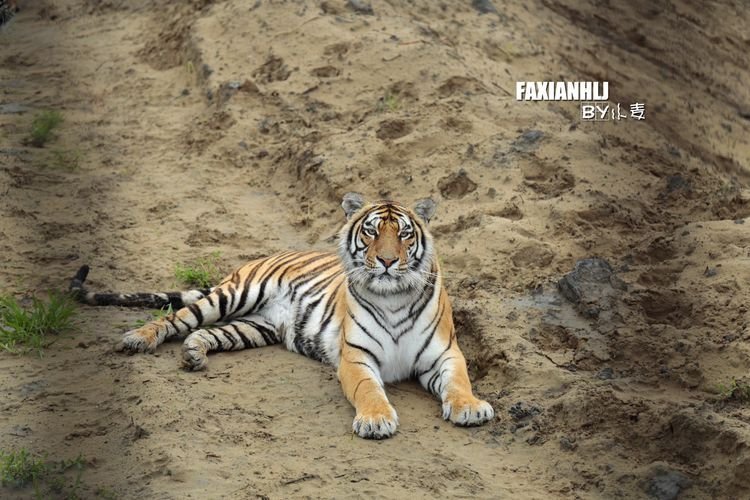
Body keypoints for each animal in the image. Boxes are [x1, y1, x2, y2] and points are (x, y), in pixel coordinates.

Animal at [69, 193, 495, 439]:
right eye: (372, 233)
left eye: (405, 234)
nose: (388, 261)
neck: (393, 298)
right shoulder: (356, 358)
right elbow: (369, 389)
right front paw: (376, 420)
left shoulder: (444, 354)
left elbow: (459, 381)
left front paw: (471, 407)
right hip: (232, 295)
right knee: (178, 318)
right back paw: (138, 339)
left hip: (254, 327)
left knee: (205, 333)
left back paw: (193, 355)